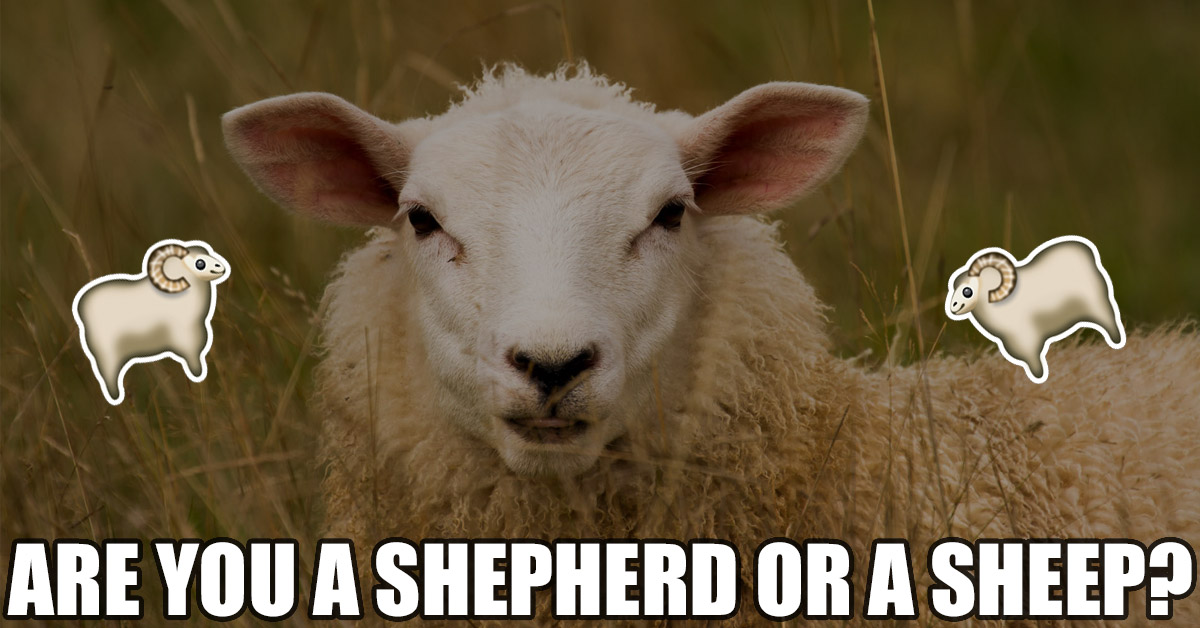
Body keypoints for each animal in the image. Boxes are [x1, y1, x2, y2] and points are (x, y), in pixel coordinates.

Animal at [946, 236, 1125, 383]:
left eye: (967, 291)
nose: (952, 308)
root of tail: (1083, 248)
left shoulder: (1028, 342)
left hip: (1098, 304)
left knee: (1110, 322)